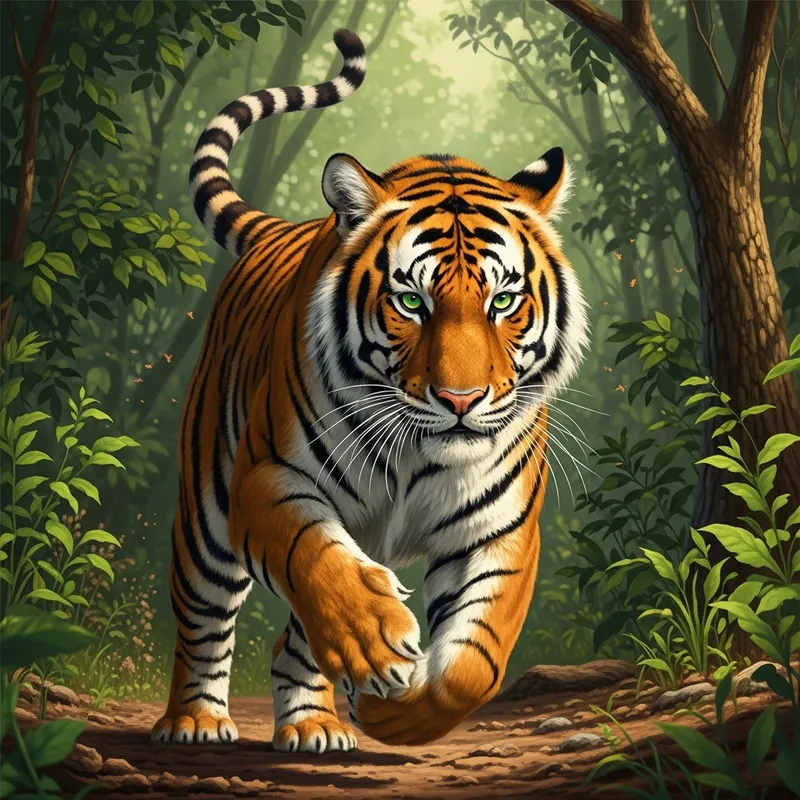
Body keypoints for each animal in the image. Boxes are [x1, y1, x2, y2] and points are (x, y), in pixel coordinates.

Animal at [151, 28, 589, 752]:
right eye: (411, 300)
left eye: (502, 301)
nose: (461, 401)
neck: (420, 451)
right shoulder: (265, 479)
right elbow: (316, 562)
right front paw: (375, 647)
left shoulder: (497, 529)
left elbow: (475, 664)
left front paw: (393, 708)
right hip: (207, 509)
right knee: (203, 618)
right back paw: (196, 721)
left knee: (291, 642)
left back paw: (316, 725)